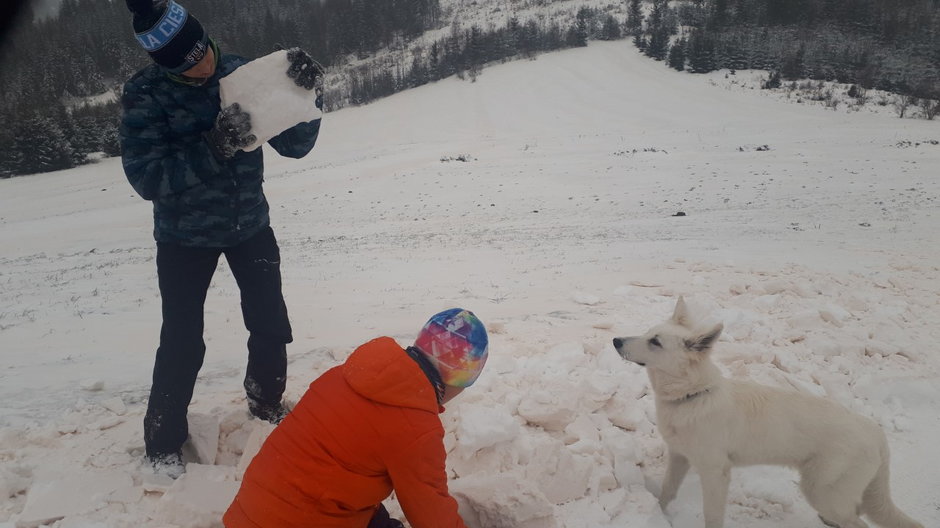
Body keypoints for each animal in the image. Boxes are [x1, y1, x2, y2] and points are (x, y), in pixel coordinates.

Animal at [612, 296, 920, 528]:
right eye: (647, 334)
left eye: (655, 342)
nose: (615, 340)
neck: (692, 396)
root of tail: (876, 433)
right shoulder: (680, 457)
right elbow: (667, 492)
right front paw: (660, 514)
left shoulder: (715, 472)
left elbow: (712, 516)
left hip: (821, 491)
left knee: (858, 522)